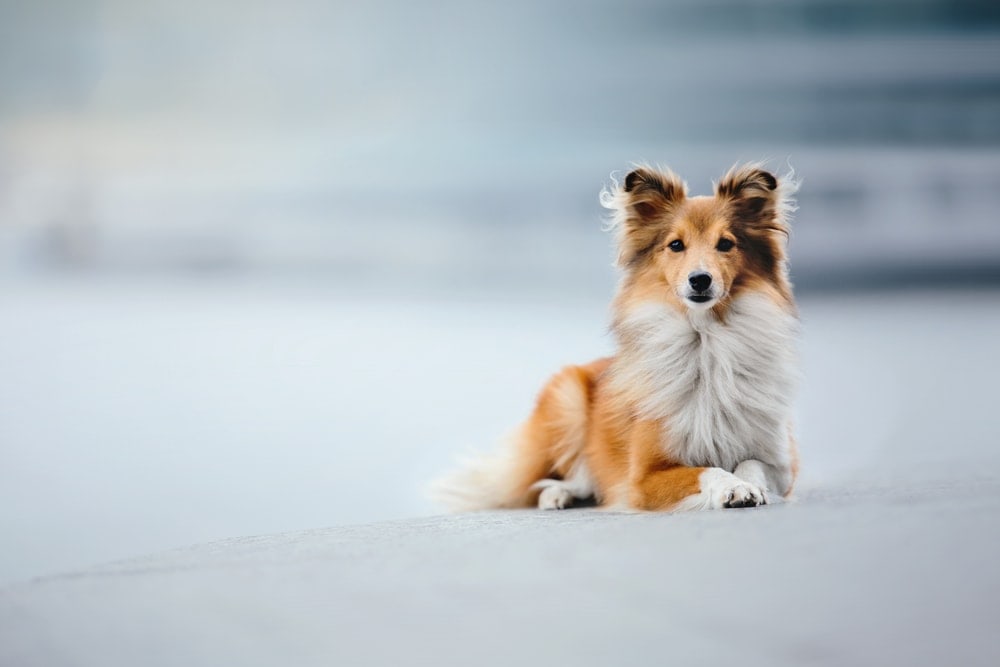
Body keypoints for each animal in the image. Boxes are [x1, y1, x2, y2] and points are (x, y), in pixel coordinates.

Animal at [434, 164, 800, 516]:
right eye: (675, 244)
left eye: (725, 243)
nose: (700, 280)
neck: (707, 339)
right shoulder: (643, 477)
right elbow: (707, 470)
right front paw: (733, 488)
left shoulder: (781, 462)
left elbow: (751, 464)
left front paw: (749, 486)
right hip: (566, 399)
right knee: (566, 479)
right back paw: (556, 496)